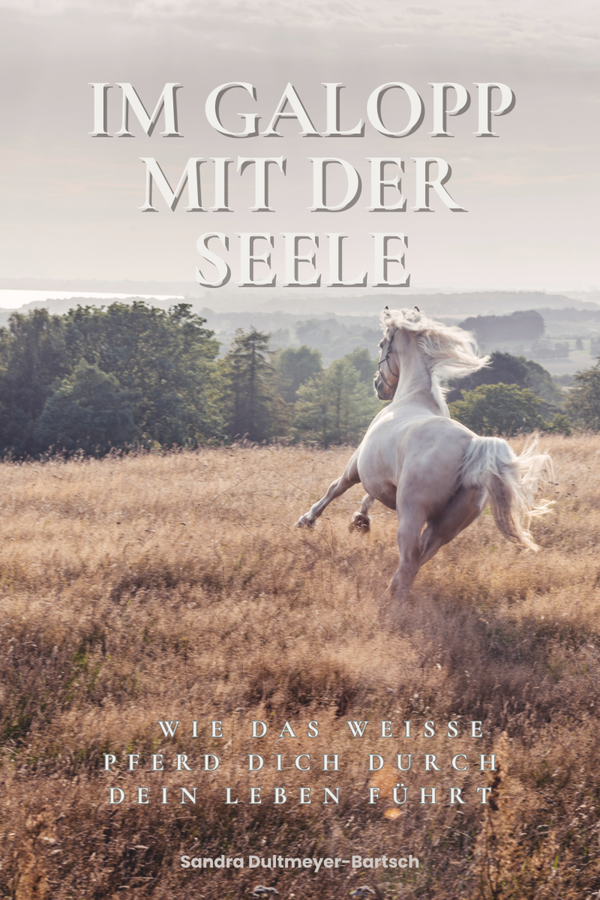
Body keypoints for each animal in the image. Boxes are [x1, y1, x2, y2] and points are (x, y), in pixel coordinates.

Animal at [295, 307, 553, 604]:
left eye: (382, 344)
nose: (378, 385)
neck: (413, 396)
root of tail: (473, 446)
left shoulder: (357, 465)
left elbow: (335, 488)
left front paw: (308, 520)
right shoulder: (382, 479)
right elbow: (368, 496)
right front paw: (360, 520)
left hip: (412, 512)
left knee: (409, 557)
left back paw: (390, 601)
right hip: (447, 526)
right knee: (421, 556)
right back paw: (394, 592)